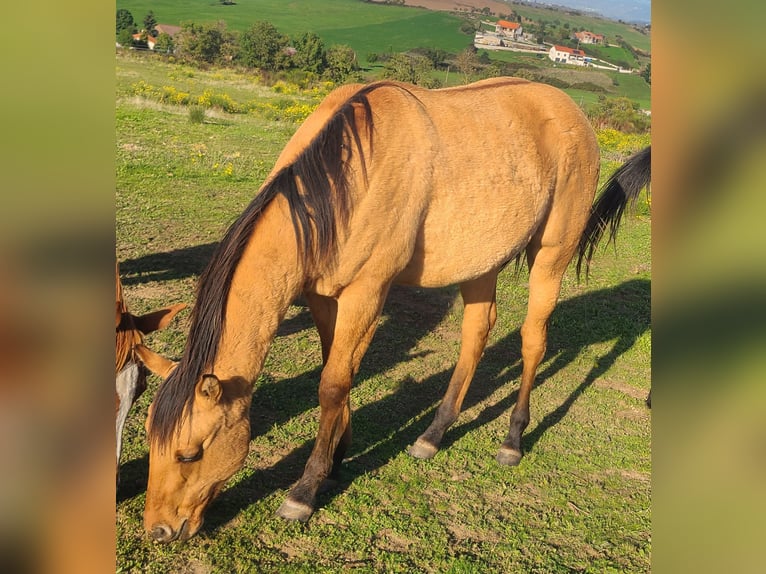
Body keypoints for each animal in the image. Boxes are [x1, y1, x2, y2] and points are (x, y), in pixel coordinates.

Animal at [143, 77, 646, 542]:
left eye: (190, 453)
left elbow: (332, 385)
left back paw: (512, 440)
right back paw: (432, 435)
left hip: (551, 256)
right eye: (149, 439)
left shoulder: (367, 293)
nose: (159, 530)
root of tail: (572, 112)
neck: (343, 181)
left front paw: (305, 489)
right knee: (476, 334)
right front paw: (337, 456)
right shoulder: (323, 297)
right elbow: (336, 373)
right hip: (482, 262)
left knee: (533, 341)